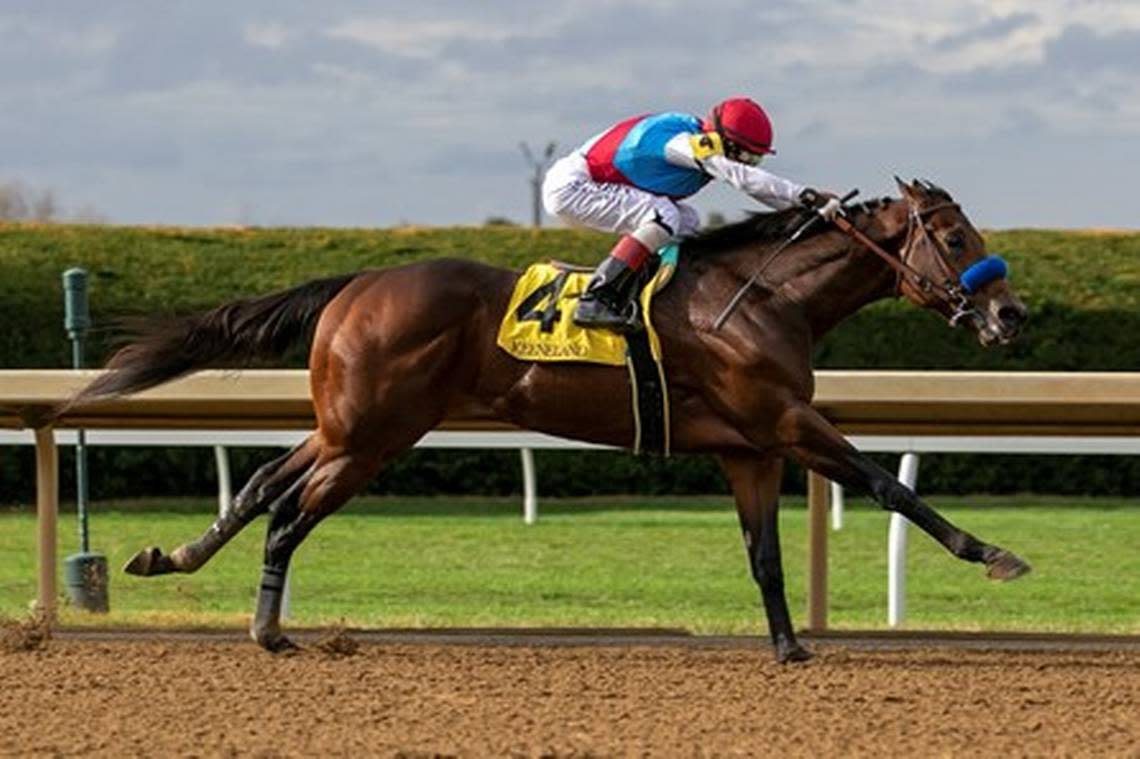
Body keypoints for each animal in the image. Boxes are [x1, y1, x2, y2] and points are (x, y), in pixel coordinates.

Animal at [60, 175, 1035, 656]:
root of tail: (357, 282)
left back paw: (175, 558)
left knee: (265, 478)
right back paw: (265, 627)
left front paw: (791, 646)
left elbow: (764, 555)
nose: (1009, 314)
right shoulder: (789, 421)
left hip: (348, 426)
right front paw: (994, 552)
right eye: (955, 237)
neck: (762, 298)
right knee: (292, 509)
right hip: (373, 435)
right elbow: (888, 486)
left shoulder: (750, 447)